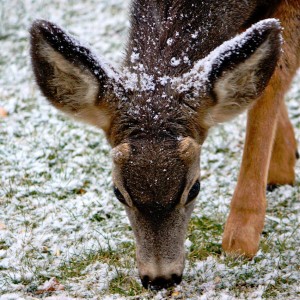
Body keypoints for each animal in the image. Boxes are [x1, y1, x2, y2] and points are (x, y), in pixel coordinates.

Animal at [29, 0, 298, 290]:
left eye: (194, 188)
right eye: (118, 192)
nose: (160, 278)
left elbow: (274, 78)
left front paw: (241, 239)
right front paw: (283, 166)